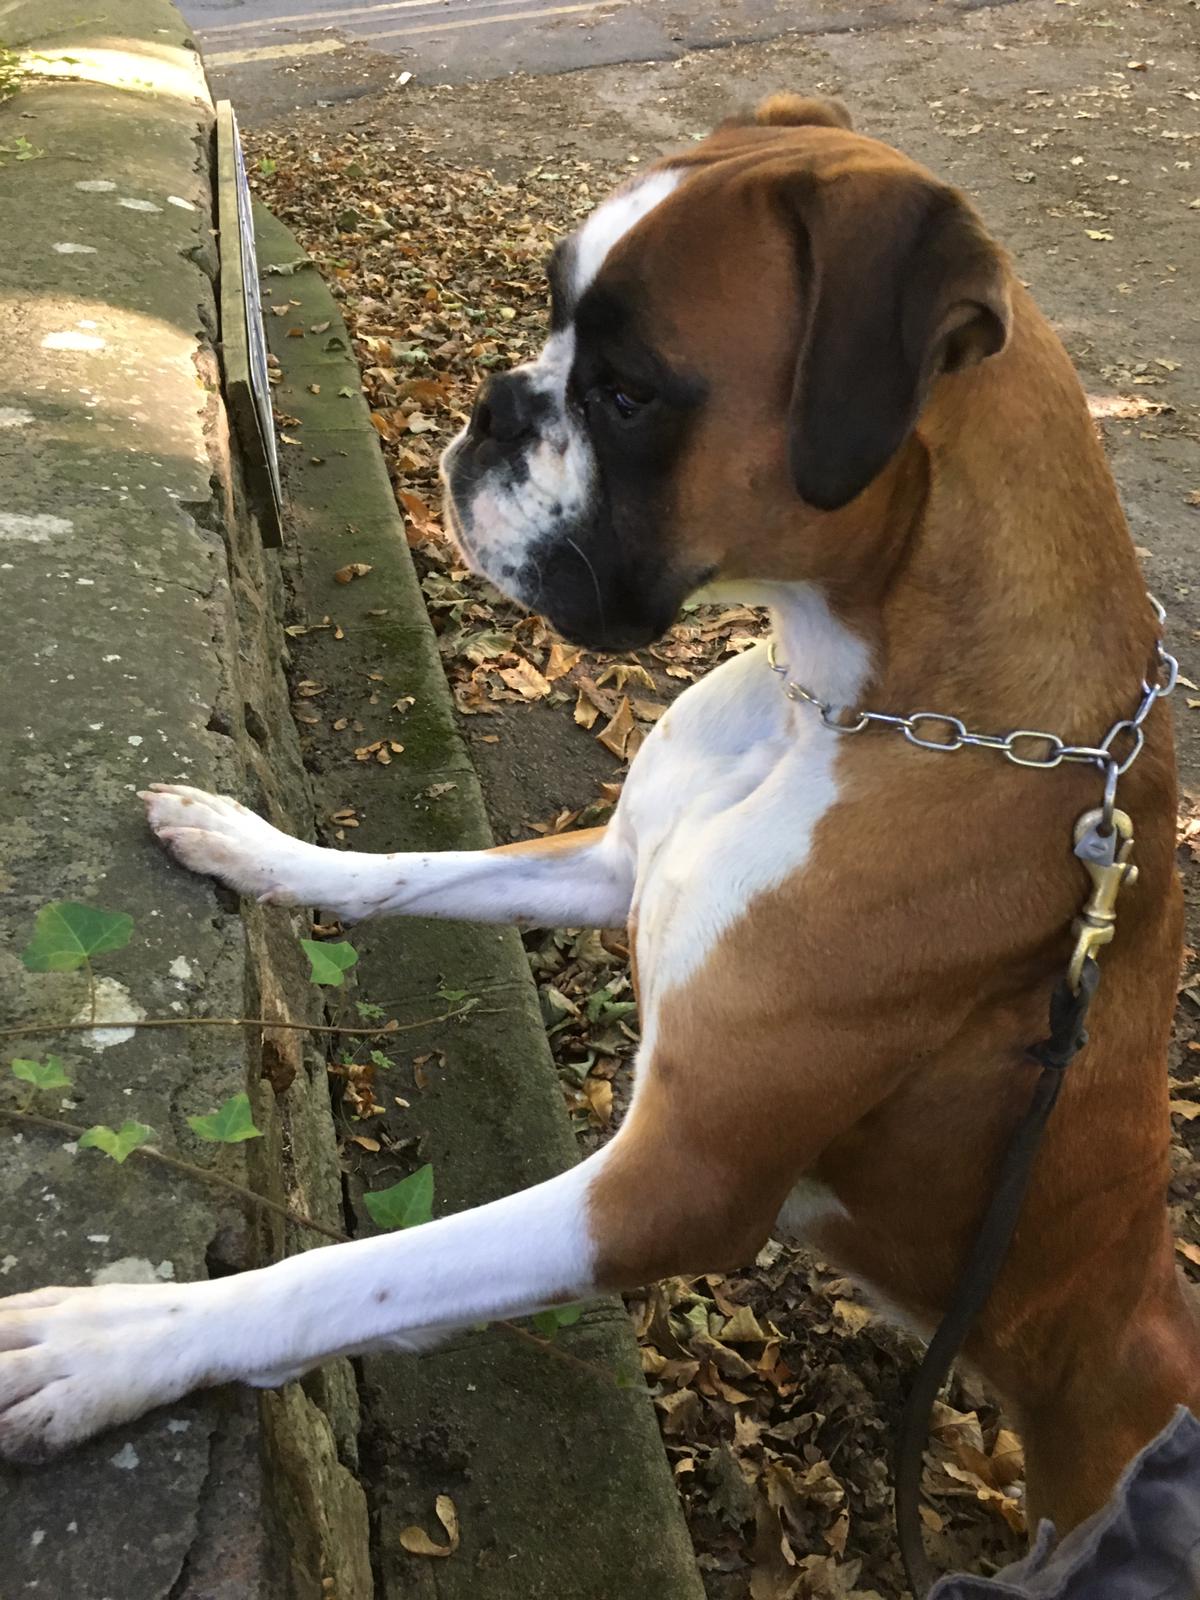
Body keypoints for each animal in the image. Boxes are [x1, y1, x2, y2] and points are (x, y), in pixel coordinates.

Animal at [1, 94, 1197, 1541]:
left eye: (628, 394)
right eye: (551, 320)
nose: (486, 410)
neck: (839, 710)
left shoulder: (666, 1188)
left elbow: (367, 1272)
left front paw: (114, 1343)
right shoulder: (619, 863)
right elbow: (412, 869)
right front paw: (244, 842)